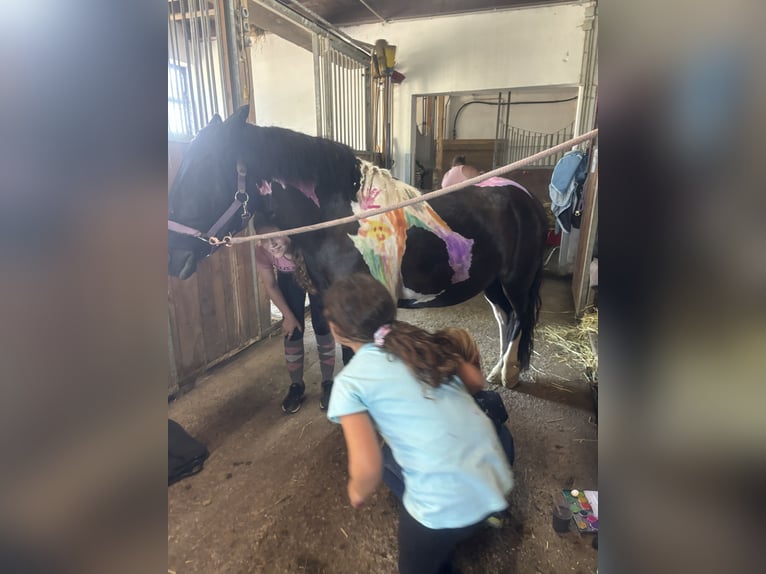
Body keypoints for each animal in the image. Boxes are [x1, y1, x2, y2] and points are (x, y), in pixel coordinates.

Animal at [170, 108, 548, 388]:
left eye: (202, 172)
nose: (174, 257)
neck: (342, 221)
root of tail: (524, 197)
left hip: (516, 282)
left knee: (518, 318)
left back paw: (508, 375)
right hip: (492, 283)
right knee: (505, 317)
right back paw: (498, 371)